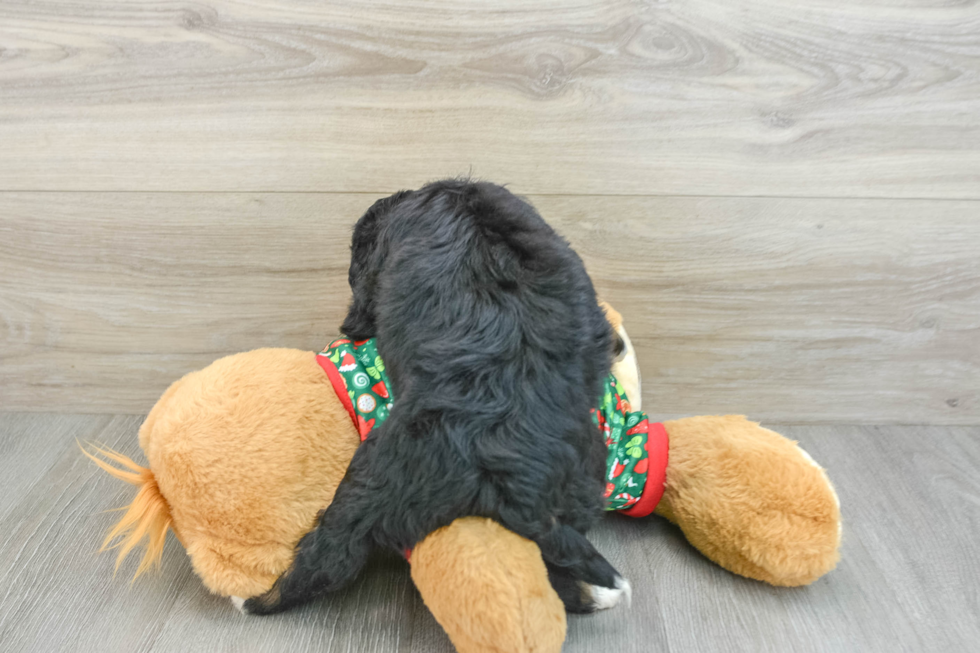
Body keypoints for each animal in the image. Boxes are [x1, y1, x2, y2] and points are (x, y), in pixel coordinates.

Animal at [242, 180, 632, 616]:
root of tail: (506, 478)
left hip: (373, 478)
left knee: (332, 554)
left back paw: (258, 598)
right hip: (580, 488)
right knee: (553, 579)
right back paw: (592, 595)